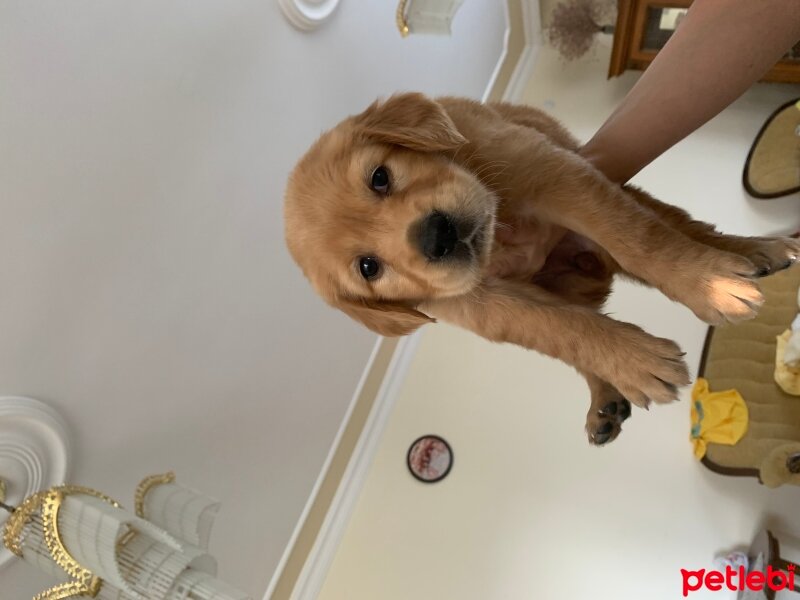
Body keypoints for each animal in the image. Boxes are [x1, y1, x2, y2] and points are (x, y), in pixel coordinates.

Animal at [284, 94, 796, 446]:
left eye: (380, 177)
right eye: (369, 267)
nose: (436, 236)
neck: (501, 225)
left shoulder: (555, 174)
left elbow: (641, 238)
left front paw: (710, 286)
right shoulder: (474, 302)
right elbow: (561, 329)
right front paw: (636, 362)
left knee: (680, 225)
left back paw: (758, 253)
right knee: (583, 324)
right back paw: (605, 398)